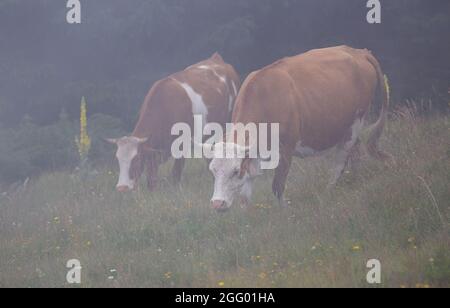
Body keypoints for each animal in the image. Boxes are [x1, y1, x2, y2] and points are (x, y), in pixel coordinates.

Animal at [107, 53, 241, 192]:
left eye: (136, 159)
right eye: (118, 159)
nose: (122, 187)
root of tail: (216, 57)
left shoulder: (183, 143)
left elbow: (176, 171)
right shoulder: (153, 153)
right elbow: (151, 176)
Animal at [206, 45, 388, 211]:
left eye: (235, 171)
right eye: (213, 170)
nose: (217, 203)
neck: (264, 99)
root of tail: (359, 51)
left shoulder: (286, 148)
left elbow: (277, 186)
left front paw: (284, 212)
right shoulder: (253, 151)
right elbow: (246, 190)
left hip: (356, 122)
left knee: (341, 160)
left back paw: (329, 190)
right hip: (347, 127)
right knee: (355, 151)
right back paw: (356, 179)